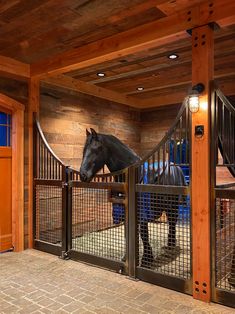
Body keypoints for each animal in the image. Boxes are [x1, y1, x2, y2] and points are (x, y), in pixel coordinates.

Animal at [80, 127, 186, 268]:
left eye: (96, 149)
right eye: (84, 150)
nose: (82, 175)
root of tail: (175, 166)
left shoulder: (141, 213)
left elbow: (144, 234)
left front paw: (146, 260)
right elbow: (127, 232)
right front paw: (127, 258)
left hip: (172, 205)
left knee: (172, 222)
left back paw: (170, 246)